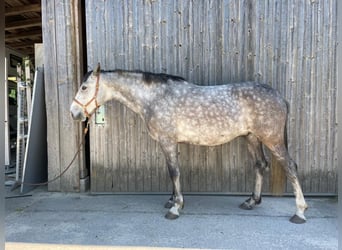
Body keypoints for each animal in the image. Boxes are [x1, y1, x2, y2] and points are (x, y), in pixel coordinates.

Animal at [71, 63, 308, 224]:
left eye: (84, 87)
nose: (74, 113)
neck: (154, 97)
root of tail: (279, 96)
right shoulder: (168, 143)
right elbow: (172, 172)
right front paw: (172, 200)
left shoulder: (167, 141)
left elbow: (174, 172)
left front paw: (175, 207)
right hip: (251, 138)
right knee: (260, 165)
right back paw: (251, 201)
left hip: (272, 139)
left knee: (290, 167)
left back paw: (299, 211)